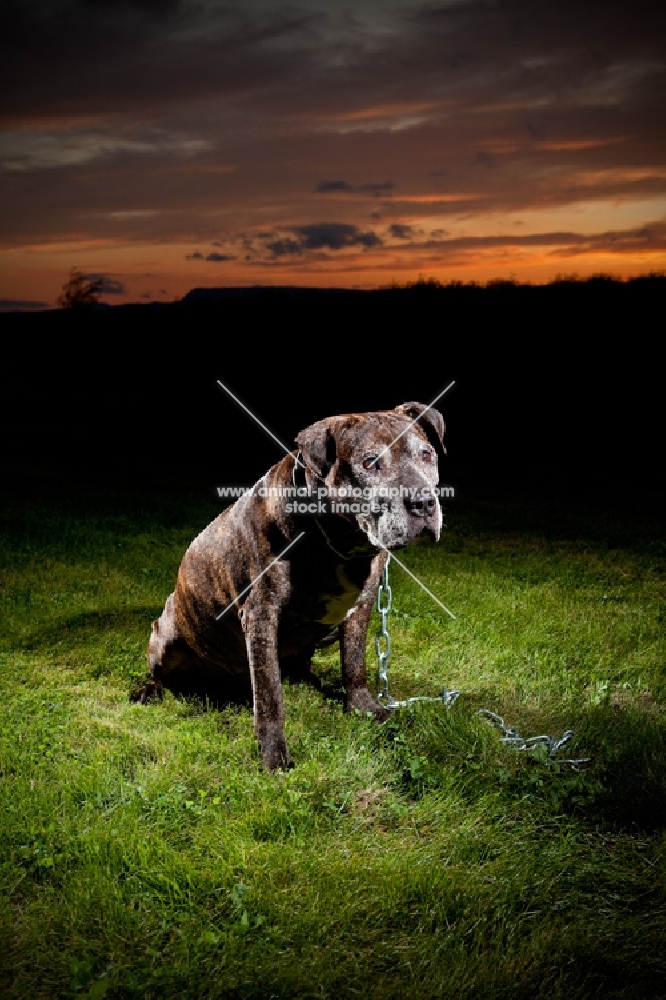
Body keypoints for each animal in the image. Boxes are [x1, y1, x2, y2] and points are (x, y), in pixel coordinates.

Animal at [134, 402, 446, 768]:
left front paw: (365, 708)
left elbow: (354, 664)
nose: (423, 503)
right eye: (370, 462)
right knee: (163, 673)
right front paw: (274, 755)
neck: (338, 542)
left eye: (426, 454)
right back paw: (148, 691)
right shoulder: (261, 614)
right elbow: (270, 694)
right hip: (166, 636)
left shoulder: (361, 607)